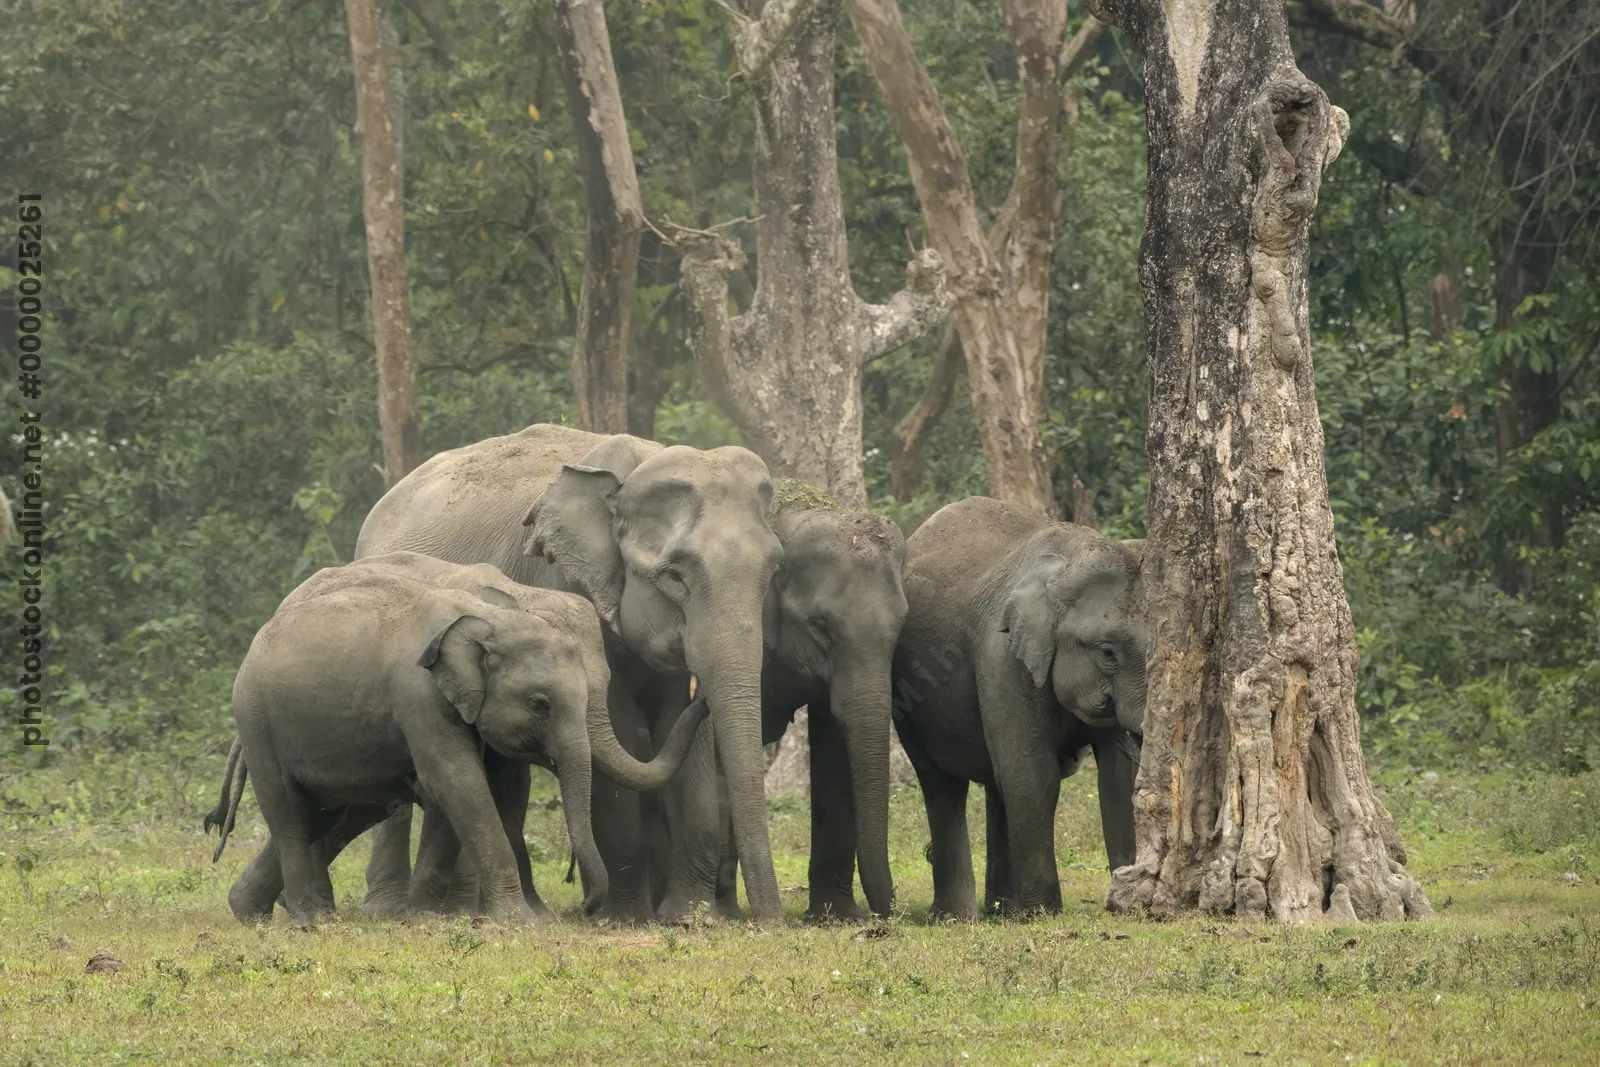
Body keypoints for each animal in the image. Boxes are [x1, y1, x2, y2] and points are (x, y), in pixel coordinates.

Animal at [212, 563, 708, 924]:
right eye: (540, 703)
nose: (585, 909)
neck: (501, 614)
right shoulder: (420, 695)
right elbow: (457, 781)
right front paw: (518, 922)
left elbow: (473, 789)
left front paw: (425, 917)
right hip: (257, 720)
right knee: (290, 814)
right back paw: (310, 921)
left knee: (333, 813)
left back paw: (253, 911)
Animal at [354, 424, 787, 923]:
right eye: (674, 576)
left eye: (774, 569)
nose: (772, 921)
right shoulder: (564, 578)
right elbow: (615, 727)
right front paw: (625, 918)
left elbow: (681, 731)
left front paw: (689, 916)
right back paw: (387, 909)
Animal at [692, 483, 908, 922]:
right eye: (821, 626)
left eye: (901, 625)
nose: (886, 916)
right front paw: (725, 914)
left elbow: (833, 743)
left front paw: (836, 917)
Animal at [890, 496, 1147, 919]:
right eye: (1107, 653)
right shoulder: (1002, 658)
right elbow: (1033, 776)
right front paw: (1042, 913)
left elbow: (1118, 775)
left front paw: (1125, 901)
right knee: (942, 784)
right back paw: (958, 917)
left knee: (996, 783)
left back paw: (1000, 910)